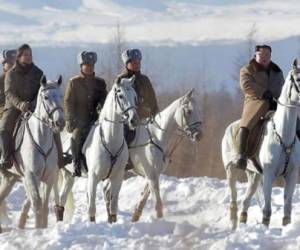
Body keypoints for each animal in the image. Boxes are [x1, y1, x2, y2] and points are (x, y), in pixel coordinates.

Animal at [0, 75, 64, 230]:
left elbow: (44, 205)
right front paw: (37, 230)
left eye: (61, 95)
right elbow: (37, 204)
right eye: (46, 97)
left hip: (9, 178)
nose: (60, 123)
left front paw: (41, 228)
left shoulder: (48, 177)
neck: (40, 138)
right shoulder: (30, 176)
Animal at [54, 76, 138, 223]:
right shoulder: (93, 178)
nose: (134, 120)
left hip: (69, 176)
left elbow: (113, 207)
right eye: (120, 95)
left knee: (62, 201)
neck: (110, 141)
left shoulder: (117, 178)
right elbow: (92, 208)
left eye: (135, 96)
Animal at [120, 89, 203, 222]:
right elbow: (158, 204)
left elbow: (144, 198)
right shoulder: (151, 175)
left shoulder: (153, 174)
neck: (157, 137)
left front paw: (135, 217)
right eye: (189, 111)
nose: (199, 135)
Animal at [221, 59, 300, 230]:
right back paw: (234, 225)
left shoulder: (291, 175)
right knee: (234, 199)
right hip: (231, 170)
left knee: (245, 202)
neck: (283, 135)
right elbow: (267, 210)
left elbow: (287, 210)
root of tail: (230, 127)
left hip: (254, 175)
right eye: (297, 79)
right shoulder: (269, 175)